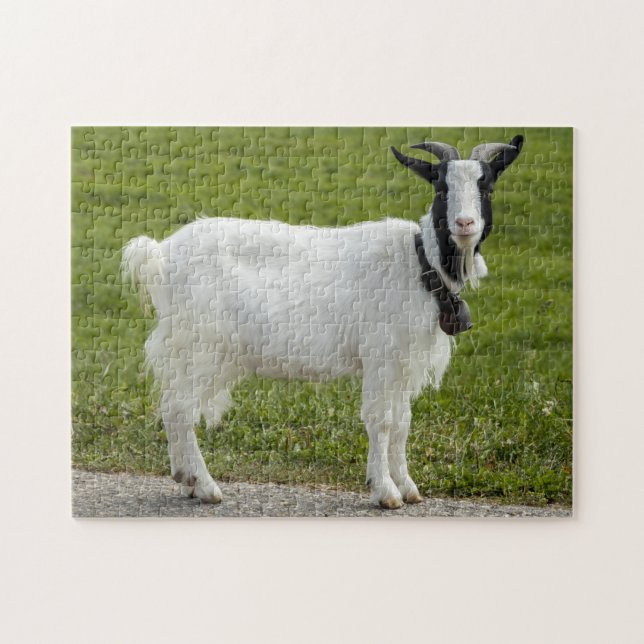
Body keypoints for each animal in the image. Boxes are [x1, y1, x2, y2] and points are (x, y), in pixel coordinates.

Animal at [122, 135, 523, 509]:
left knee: (171, 404)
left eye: (487, 186)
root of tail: (159, 255)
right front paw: (385, 491)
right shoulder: (381, 356)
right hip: (202, 344)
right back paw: (205, 485)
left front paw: (408, 487)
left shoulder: (404, 362)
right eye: (441, 187)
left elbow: (402, 423)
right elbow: (381, 421)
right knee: (180, 408)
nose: (464, 223)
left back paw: (185, 479)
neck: (420, 263)